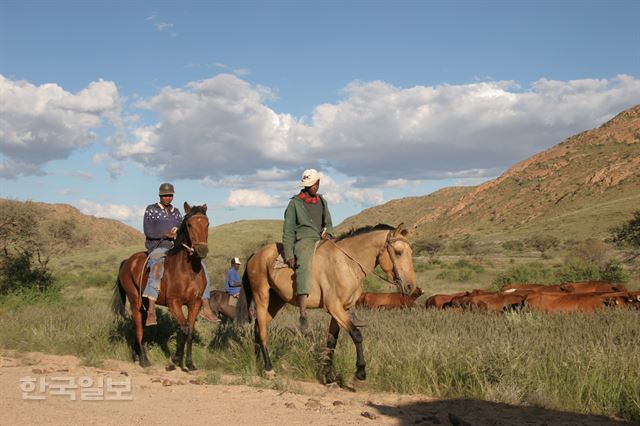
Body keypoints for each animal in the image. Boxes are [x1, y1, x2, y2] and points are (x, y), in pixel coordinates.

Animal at [111, 203, 209, 370]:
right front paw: (174, 360)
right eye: (189, 225)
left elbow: (189, 331)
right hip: (135, 300)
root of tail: (127, 262)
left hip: (144, 303)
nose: (202, 250)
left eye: (207, 223)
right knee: (138, 327)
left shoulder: (194, 303)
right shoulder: (174, 303)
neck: (188, 270)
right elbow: (184, 329)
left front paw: (189, 363)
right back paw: (144, 360)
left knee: (138, 326)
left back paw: (136, 355)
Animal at [235, 223, 416, 382]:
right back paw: (269, 369)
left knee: (259, 326)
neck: (347, 263)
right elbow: (356, 334)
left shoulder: (341, 310)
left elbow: (331, 341)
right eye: (398, 252)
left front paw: (328, 377)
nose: (410, 286)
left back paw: (258, 362)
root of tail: (256, 254)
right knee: (262, 329)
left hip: (276, 301)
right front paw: (360, 374)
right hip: (261, 296)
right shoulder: (334, 307)